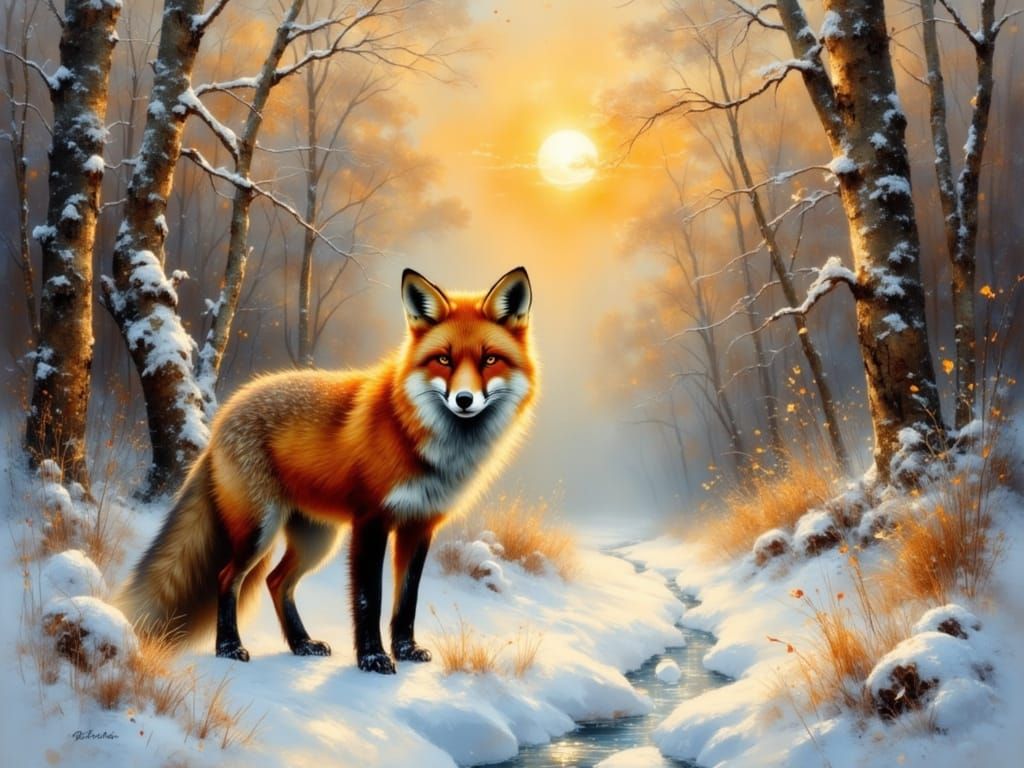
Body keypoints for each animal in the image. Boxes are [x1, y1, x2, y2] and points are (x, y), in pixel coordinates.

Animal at [119, 267, 536, 674]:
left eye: (489, 360)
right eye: (444, 360)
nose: (464, 400)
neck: (419, 439)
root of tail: (223, 416)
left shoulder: (420, 524)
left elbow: (407, 601)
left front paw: (405, 650)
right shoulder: (371, 520)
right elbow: (370, 598)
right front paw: (372, 659)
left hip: (317, 538)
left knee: (276, 581)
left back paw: (301, 643)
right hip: (260, 529)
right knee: (227, 577)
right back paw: (229, 647)